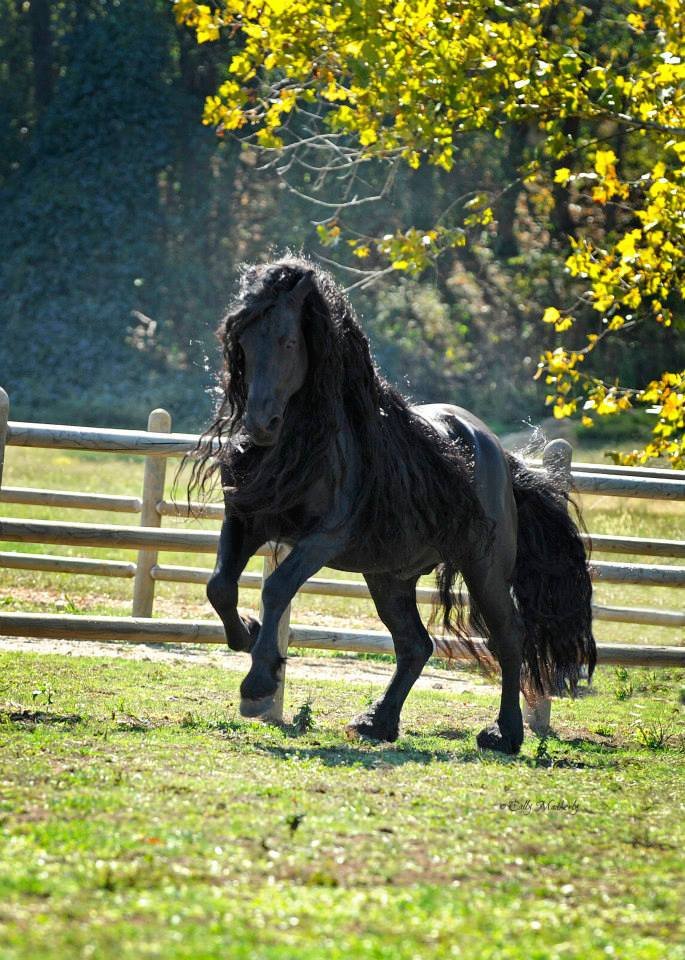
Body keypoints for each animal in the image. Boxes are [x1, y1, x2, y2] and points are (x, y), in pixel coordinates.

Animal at [188, 258, 592, 752]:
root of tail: (496, 450)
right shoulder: (245, 521)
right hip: (389, 576)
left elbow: (276, 588)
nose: (260, 424)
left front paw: (259, 682)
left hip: (484, 568)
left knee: (508, 637)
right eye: (241, 341)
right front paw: (247, 635)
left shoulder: (323, 537)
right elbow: (219, 587)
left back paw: (504, 733)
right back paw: (377, 722)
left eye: (288, 341)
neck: (305, 445)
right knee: (415, 645)